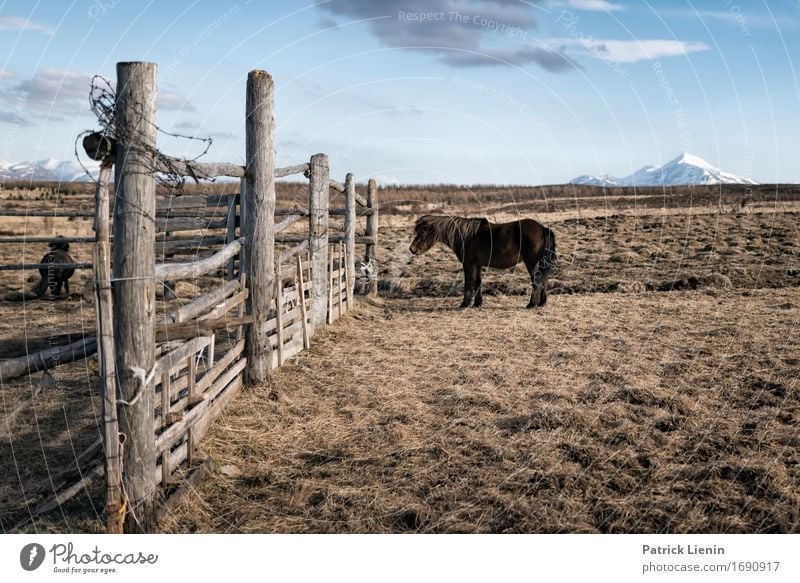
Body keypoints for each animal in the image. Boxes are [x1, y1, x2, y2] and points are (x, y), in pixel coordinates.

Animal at [412, 216, 556, 310]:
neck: (466, 236)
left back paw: (531, 304)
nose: (412, 249)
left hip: (531, 262)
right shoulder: (477, 265)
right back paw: (542, 303)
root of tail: (542, 228)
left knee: (537, 280)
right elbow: (478, 282)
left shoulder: (468, 264)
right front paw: (478, 303)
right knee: (543, 280)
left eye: (423, 232)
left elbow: (469, 283)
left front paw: (464, 304)